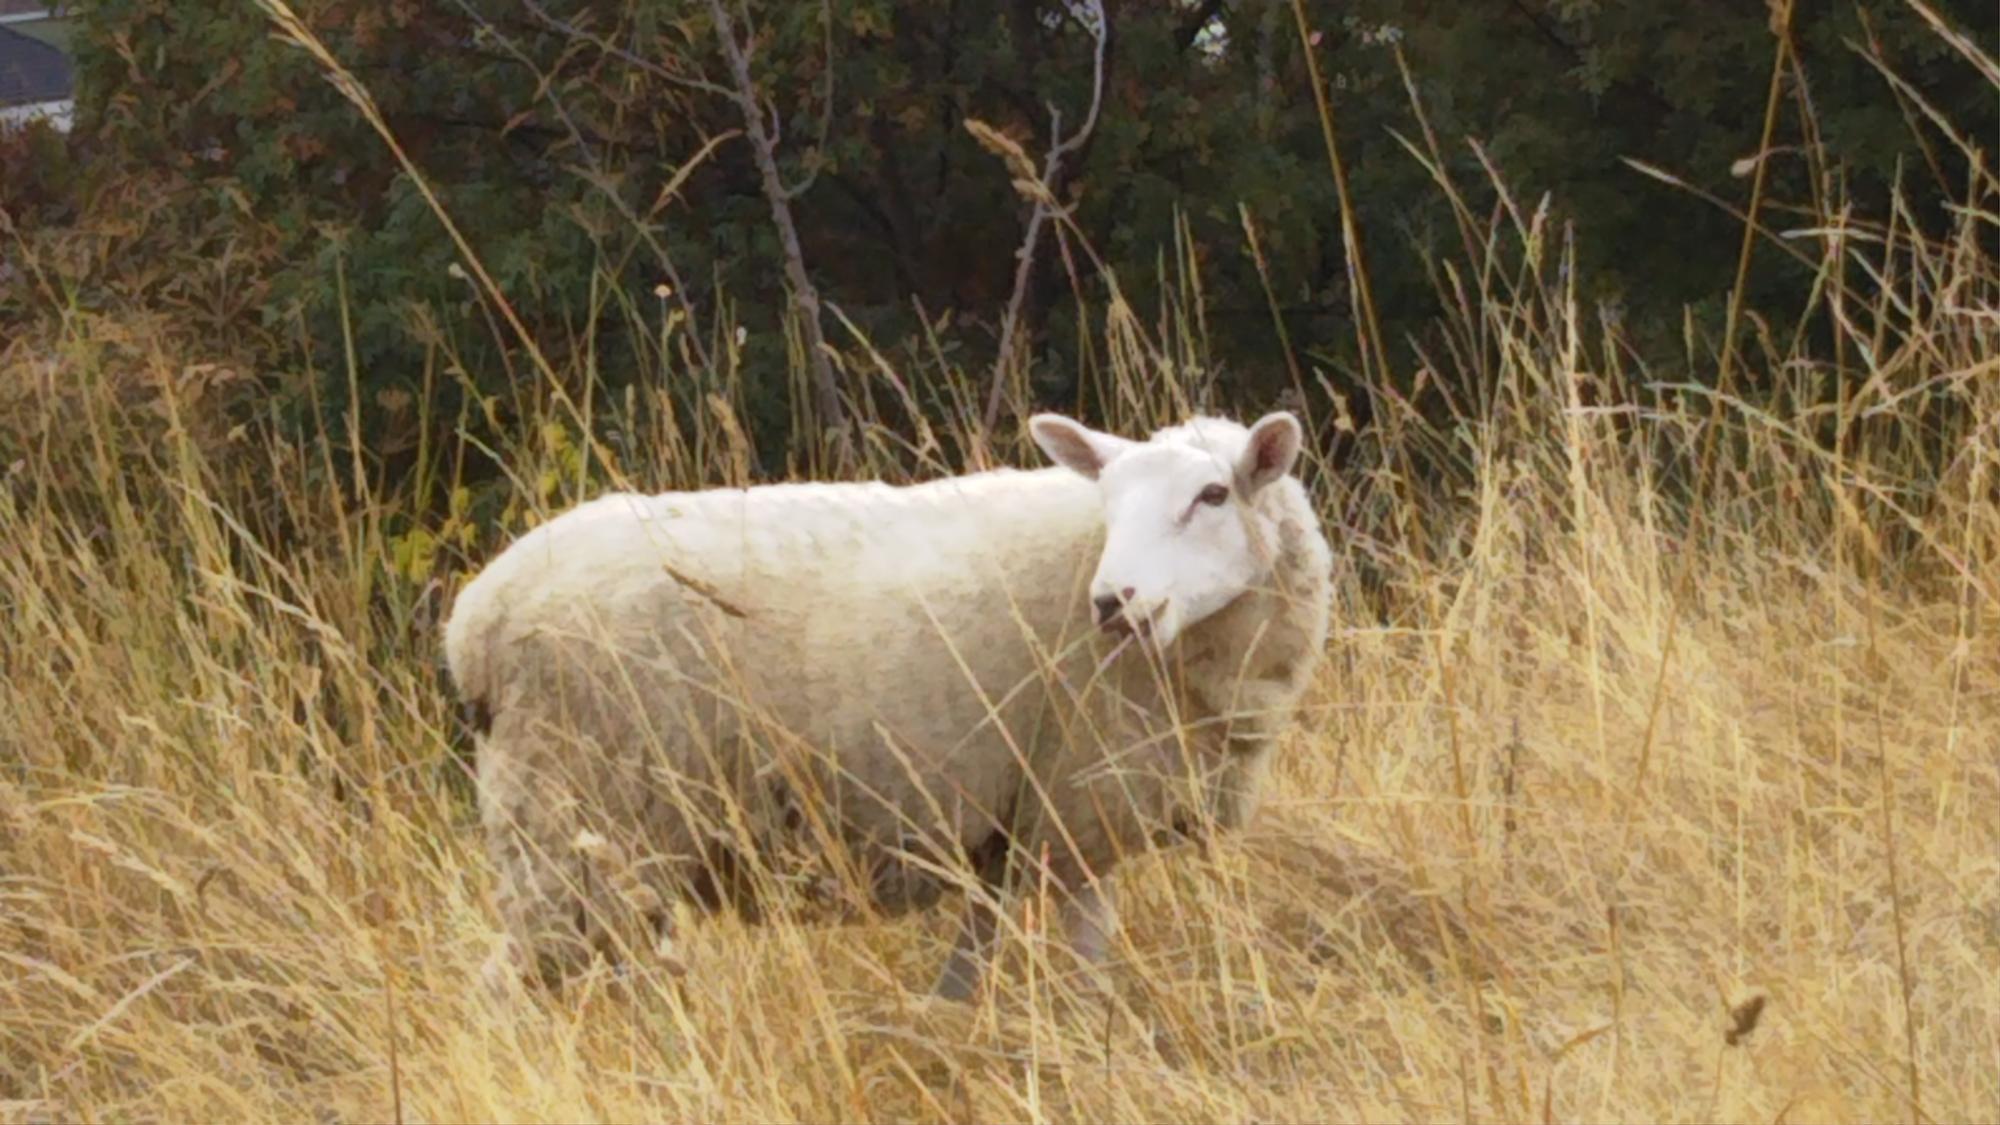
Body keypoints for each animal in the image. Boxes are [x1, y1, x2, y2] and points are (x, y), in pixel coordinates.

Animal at [446, 406, 1336, 992]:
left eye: (1214, 495)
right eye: (1107, 502)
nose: (1113, 603)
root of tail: (477, 619)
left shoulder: (1010, 832)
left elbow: (966, 974)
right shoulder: (1077, 814)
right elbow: (1087, 973)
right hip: (576, 814)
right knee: (504, 991)